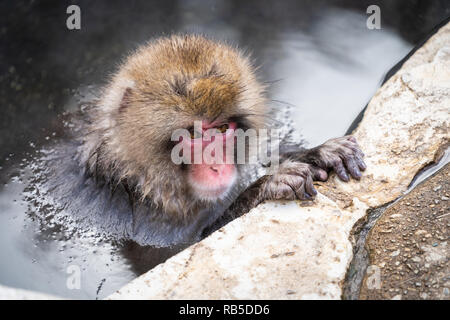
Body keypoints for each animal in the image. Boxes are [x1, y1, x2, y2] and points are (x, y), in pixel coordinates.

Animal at [41, 33, 366, 246]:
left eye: (222, 129)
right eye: (192, 134)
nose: (217, 167)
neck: (140, 178)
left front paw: (319, 152)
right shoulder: (139, 210)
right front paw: (268, 185)